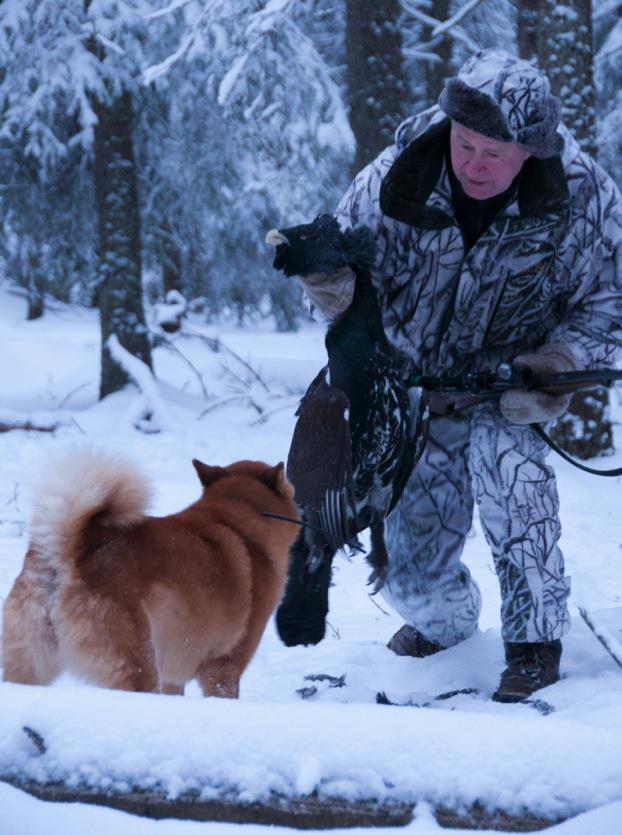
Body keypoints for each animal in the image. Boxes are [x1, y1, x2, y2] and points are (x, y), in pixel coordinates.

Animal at [1, 450, 300, 700]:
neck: (240, 521)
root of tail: (73, 548)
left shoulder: (173, 677)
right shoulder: (223, 667)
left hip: (29, 664)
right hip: (139, 665)